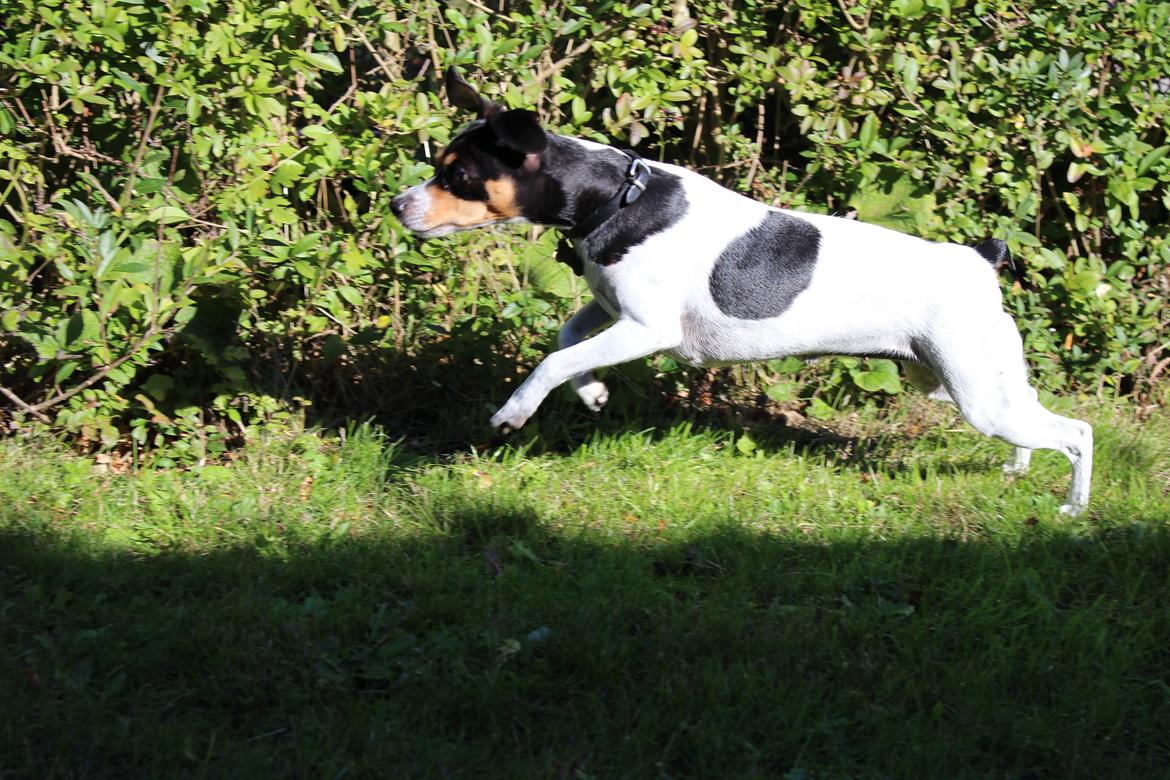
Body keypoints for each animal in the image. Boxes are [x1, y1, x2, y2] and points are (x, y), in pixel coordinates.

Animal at [393, 68, 1095, 519]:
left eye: (457, 174)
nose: (397, 205)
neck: (618, 199)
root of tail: (980, 259)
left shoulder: (647, 329)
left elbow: (552, 358)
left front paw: (515, 411)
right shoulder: (610, 310)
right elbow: (568, 339)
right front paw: (591, 392)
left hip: (975, 391)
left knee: (1078, 433)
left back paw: (1072, 508)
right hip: (967, 382)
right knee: (1038, 426)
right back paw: (1017, 472)